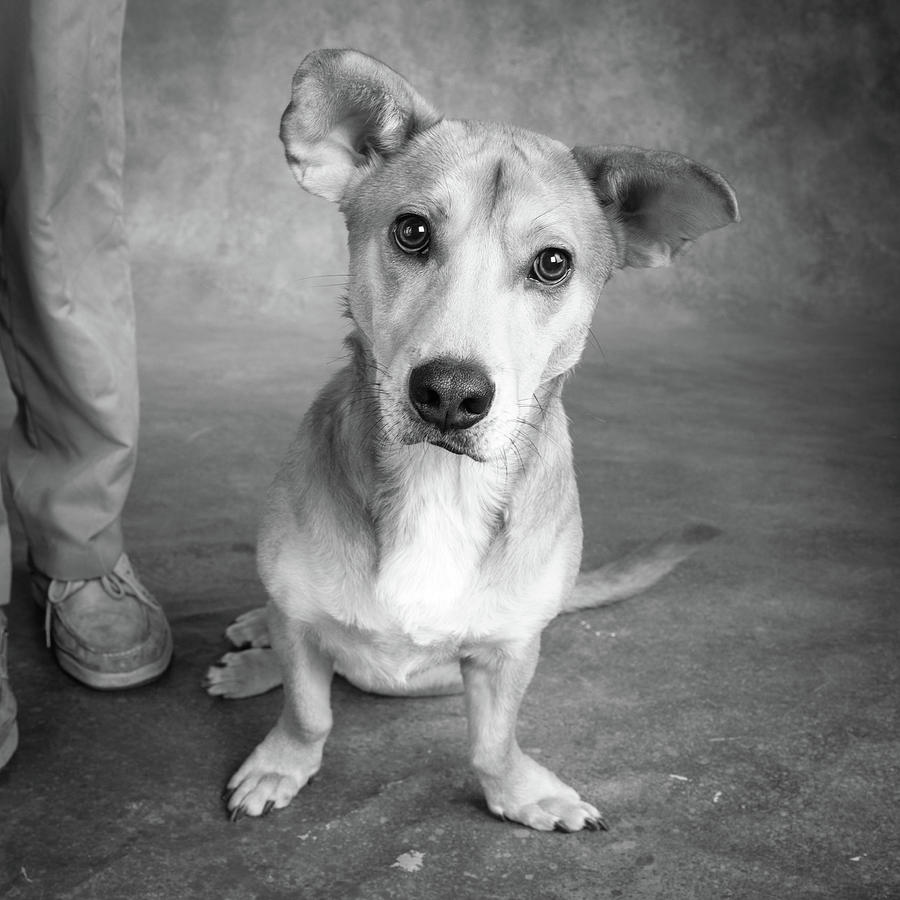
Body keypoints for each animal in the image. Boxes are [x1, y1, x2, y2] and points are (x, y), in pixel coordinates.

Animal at [207, 49, 740, 832]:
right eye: (411, 232)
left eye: (553, 263)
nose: (451, 394)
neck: (439, 484)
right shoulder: (303, 626)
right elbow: (308, 713)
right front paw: (283, 762)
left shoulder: (507, 651)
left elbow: (492, 743)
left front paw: (522, 793)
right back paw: (253, 648)